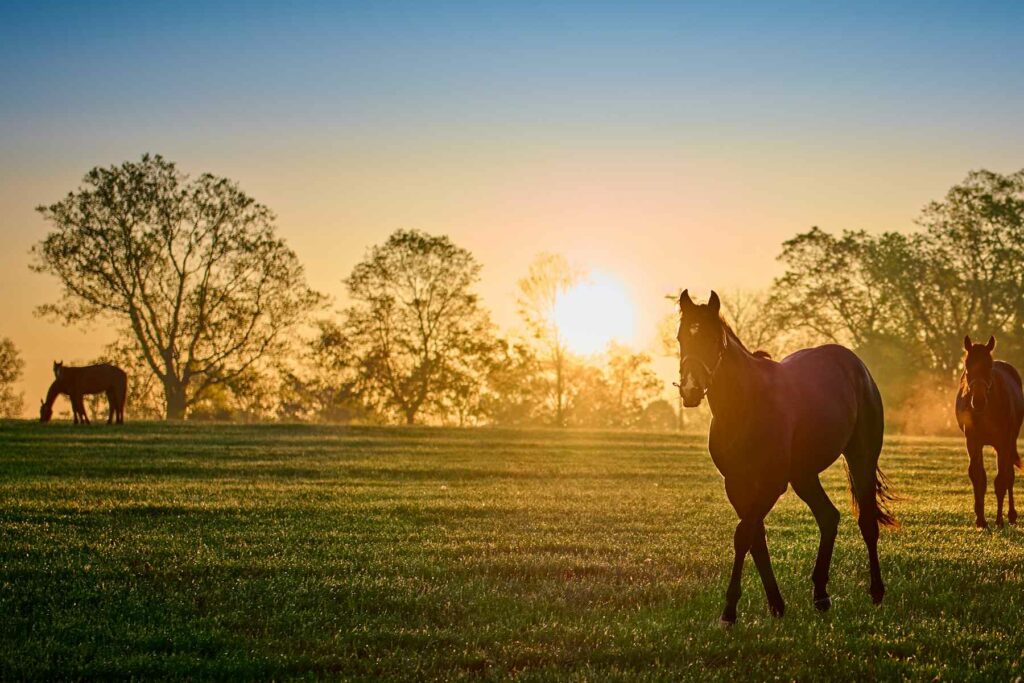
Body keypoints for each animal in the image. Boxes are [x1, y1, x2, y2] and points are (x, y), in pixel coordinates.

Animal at [675, 288, 892, 626]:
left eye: (712, 338)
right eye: (681, 337)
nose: (690, 389)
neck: (745, 404)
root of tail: (856, 366)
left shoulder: (771, 483)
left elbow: (743, 535)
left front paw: (729, 610)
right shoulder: (736, 484)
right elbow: (755, 537)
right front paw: (776, 604)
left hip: (861, 459)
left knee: (866, 520)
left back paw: (876, 591)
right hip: (803, 475)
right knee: (828, 517)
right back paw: (820, 595)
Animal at [950, 335, 1024, 528]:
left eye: (989, 366)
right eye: (967, 365)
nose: (978, 400)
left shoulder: (1003, 443)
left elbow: (1001, 480)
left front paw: (999, 520)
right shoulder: (973, 442)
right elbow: (978, 477)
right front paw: (981, 519)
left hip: (1010, 442)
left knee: (1009, 475)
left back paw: (1011, 515)